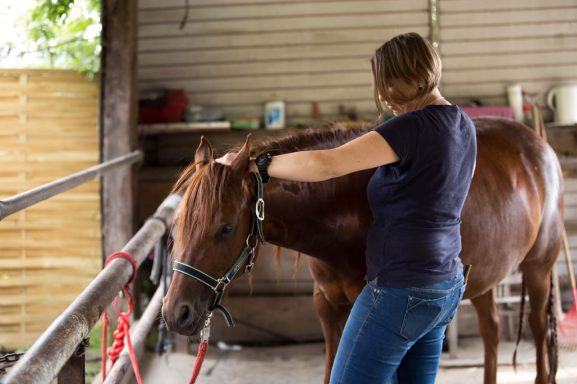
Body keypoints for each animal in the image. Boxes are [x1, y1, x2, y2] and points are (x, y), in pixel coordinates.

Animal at [162, 117, 564, 384]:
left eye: (226, 227)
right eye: (178, 223)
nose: (175, 314)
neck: (345, 208)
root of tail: (538, 146)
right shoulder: (328, 307)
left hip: (538, 269)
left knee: (538, 329)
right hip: (480, 276)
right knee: (491, 328)